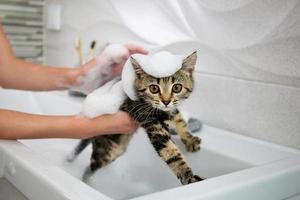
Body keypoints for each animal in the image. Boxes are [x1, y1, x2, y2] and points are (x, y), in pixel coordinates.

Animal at [69, 51, 203, 184]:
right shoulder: (148, 118)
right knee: (92, 166)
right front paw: (189, 176)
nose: (166, 101)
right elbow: (170, 151)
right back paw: (87, 180)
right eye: (154, 88)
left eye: (177, 87)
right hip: (109, 150)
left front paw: (190, 140)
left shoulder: (171, 110)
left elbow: (181, 121)